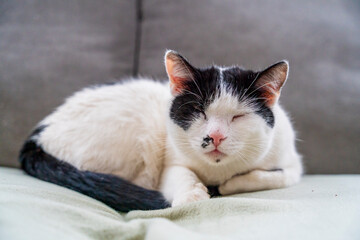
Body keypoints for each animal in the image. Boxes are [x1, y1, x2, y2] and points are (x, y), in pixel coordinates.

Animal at [19, 50, 300, 212]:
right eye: (198, 110)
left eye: (239, 116)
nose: (216, 136)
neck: (217, 171)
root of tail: (37, 136)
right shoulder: (171, 164)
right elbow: (181, 176)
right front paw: (192, 196)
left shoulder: (293, 164)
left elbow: (272, 176)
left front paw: (229, 185)